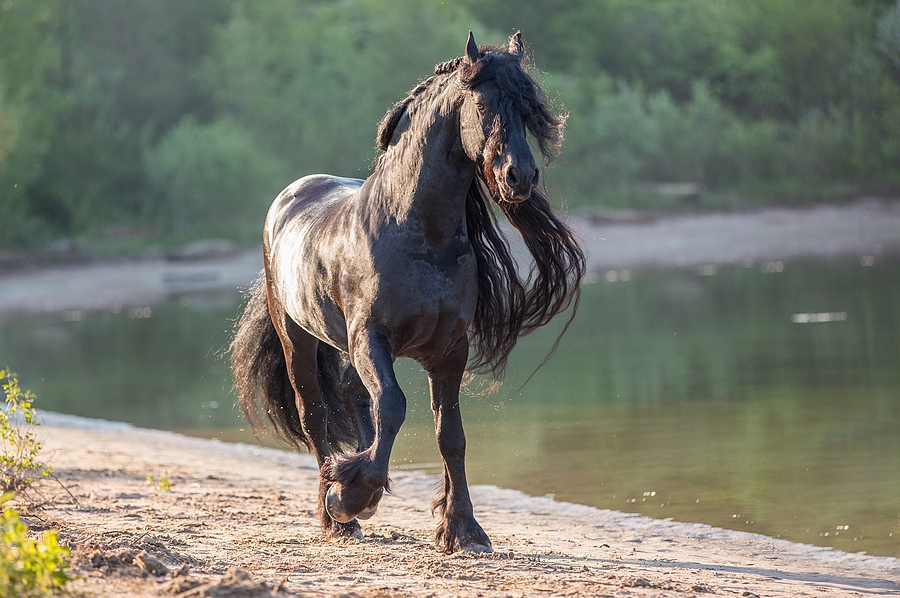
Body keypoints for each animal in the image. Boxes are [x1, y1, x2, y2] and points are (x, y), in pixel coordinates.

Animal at [232, 32, 584, 556]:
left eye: (526, 110)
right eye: (482, 103)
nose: (519, 176)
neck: (416, 235)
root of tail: (289, 198)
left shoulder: (449, 350)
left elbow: (449, 434)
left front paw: (463, 529)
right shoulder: (371, 339)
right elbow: (394, 406)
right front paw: (349, 496)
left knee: (353, 395)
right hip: (299, 338)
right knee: (315, 412)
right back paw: (335, 513)